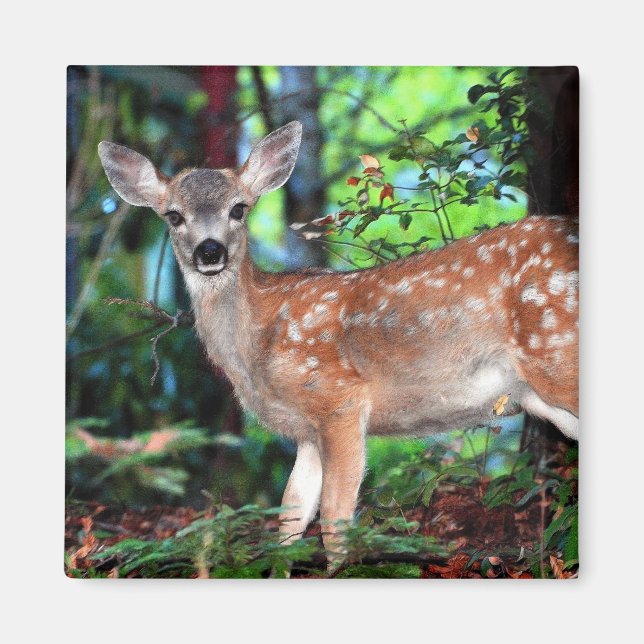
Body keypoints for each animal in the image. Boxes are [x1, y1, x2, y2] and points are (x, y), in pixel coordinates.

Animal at [98, 121, 579, 566]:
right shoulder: (306, 431)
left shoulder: (338, 397)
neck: (256, 346)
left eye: (239, 209)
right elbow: (290, 516)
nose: (210, 251)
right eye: (173, 215)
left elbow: (334, 517)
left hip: (558, 350)